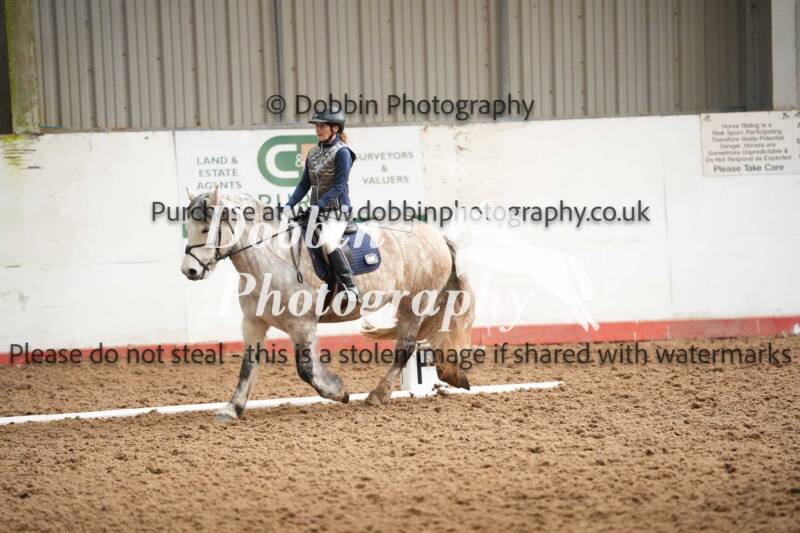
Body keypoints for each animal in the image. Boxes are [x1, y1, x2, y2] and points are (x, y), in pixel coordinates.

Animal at [180, 189, 474, 422]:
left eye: (206, 229)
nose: (189, 271)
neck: (270, 258)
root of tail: (437, 236)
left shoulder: (301, 324)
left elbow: (306, 370)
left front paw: (338, 391)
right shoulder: (253, 322)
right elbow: (247, 367)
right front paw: (232, 408)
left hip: (415, 302)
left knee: (406, 348)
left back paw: (376, 395)